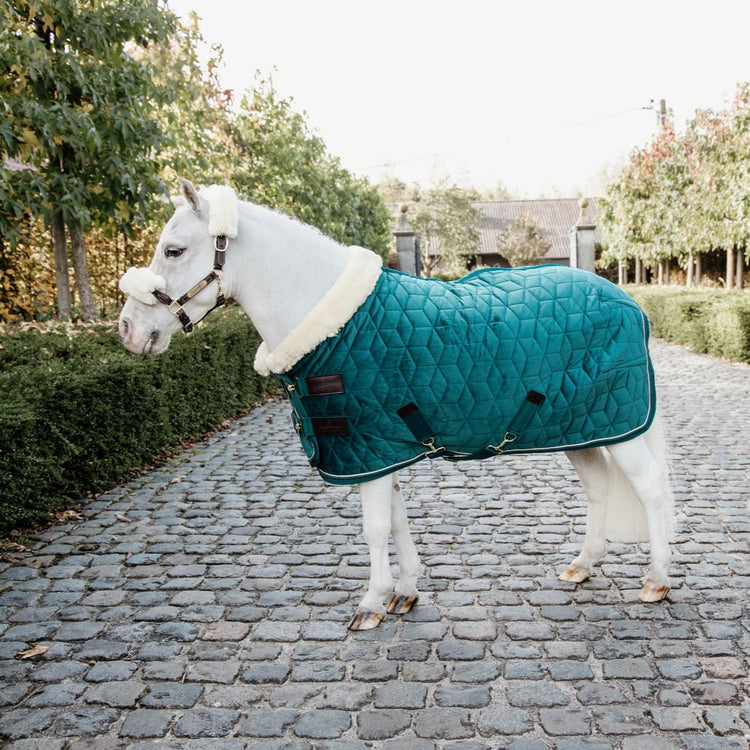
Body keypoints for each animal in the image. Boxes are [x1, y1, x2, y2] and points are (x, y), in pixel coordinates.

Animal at [119, 179, 676, 632]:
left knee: (649, 489)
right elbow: (397, 519)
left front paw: (371, 602)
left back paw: (656, 579)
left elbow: (375, 527)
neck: (336, 325)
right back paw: (584, 564)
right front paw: (404, 593)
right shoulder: (382, 448)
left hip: (620, 425)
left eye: (173, 250)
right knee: (600, 488)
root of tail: (631, 303)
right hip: (585, 428)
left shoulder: (369, 446)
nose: (128, 331)